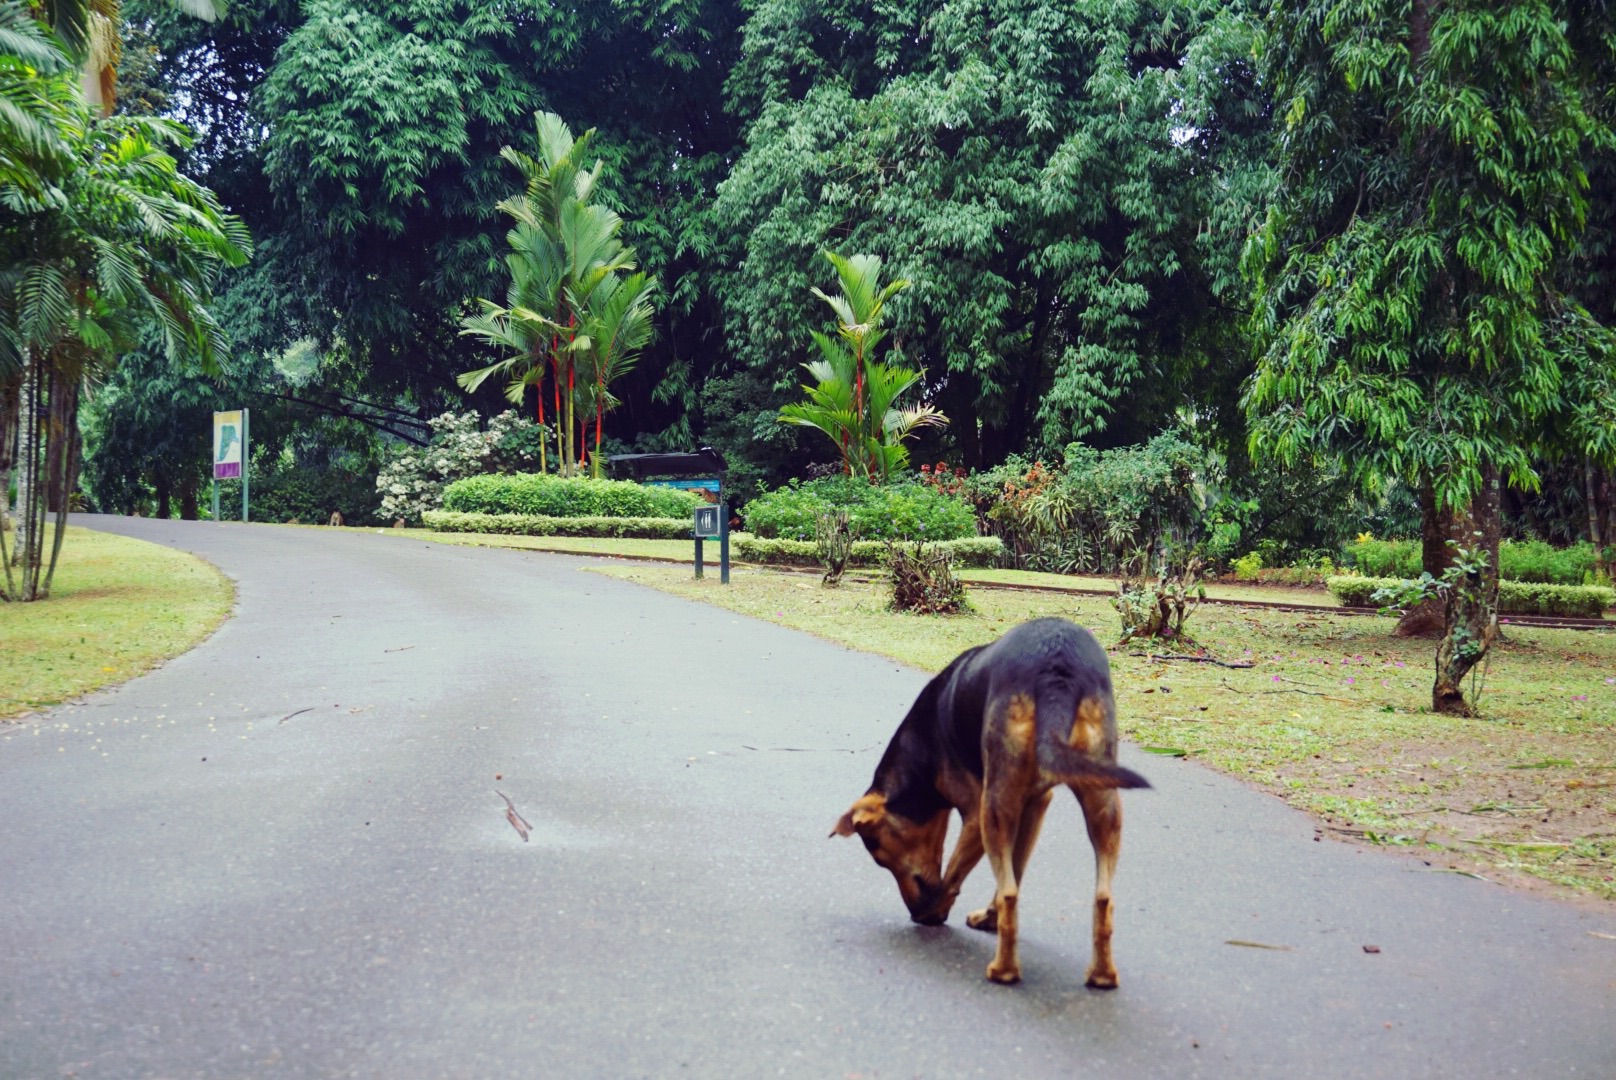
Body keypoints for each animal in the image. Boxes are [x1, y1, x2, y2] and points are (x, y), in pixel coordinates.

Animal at [833, 614, 1150, 989]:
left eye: (880, 856)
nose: (915, 911)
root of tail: (1055, 669)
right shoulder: (1035, 804)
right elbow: (1015, 869)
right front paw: (988, 917)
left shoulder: (975, 815)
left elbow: (955, 878)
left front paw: (933, 913)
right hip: (1102, 797)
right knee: (1101, 896)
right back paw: (1102, 974)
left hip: (995, 808)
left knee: (1011, 891)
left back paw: (1004, 970)